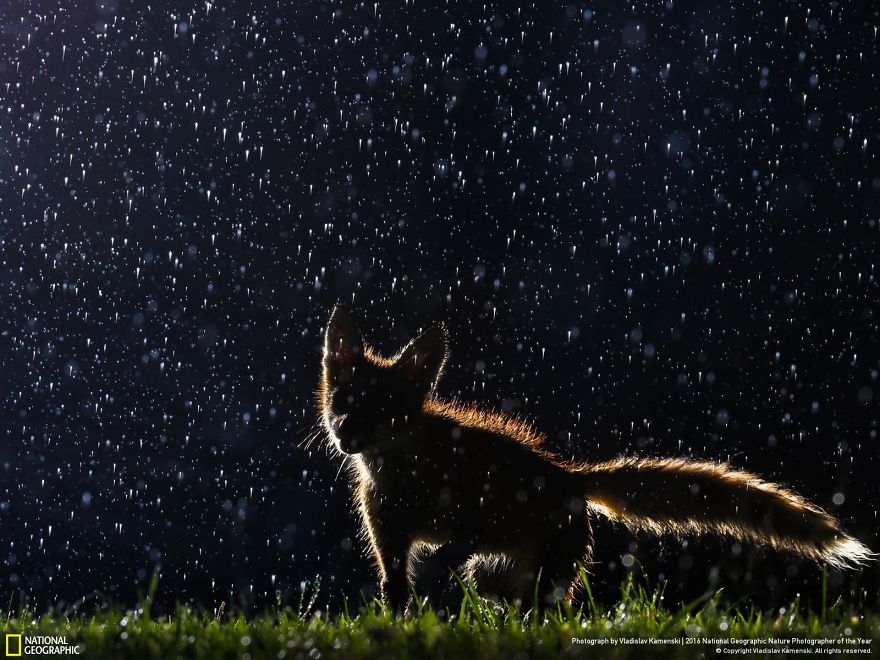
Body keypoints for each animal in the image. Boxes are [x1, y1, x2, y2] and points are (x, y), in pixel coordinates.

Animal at [316, 306, 872, 612]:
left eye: (384, 409)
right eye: (343, 400)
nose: (346, 435)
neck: (404, 476)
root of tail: (569, 475)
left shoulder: (474, 507)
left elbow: (458, 540)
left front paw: (437, 567)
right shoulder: (389, 539)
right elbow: (396, 594)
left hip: (541, 571)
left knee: (549, 614)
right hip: (498, 578)